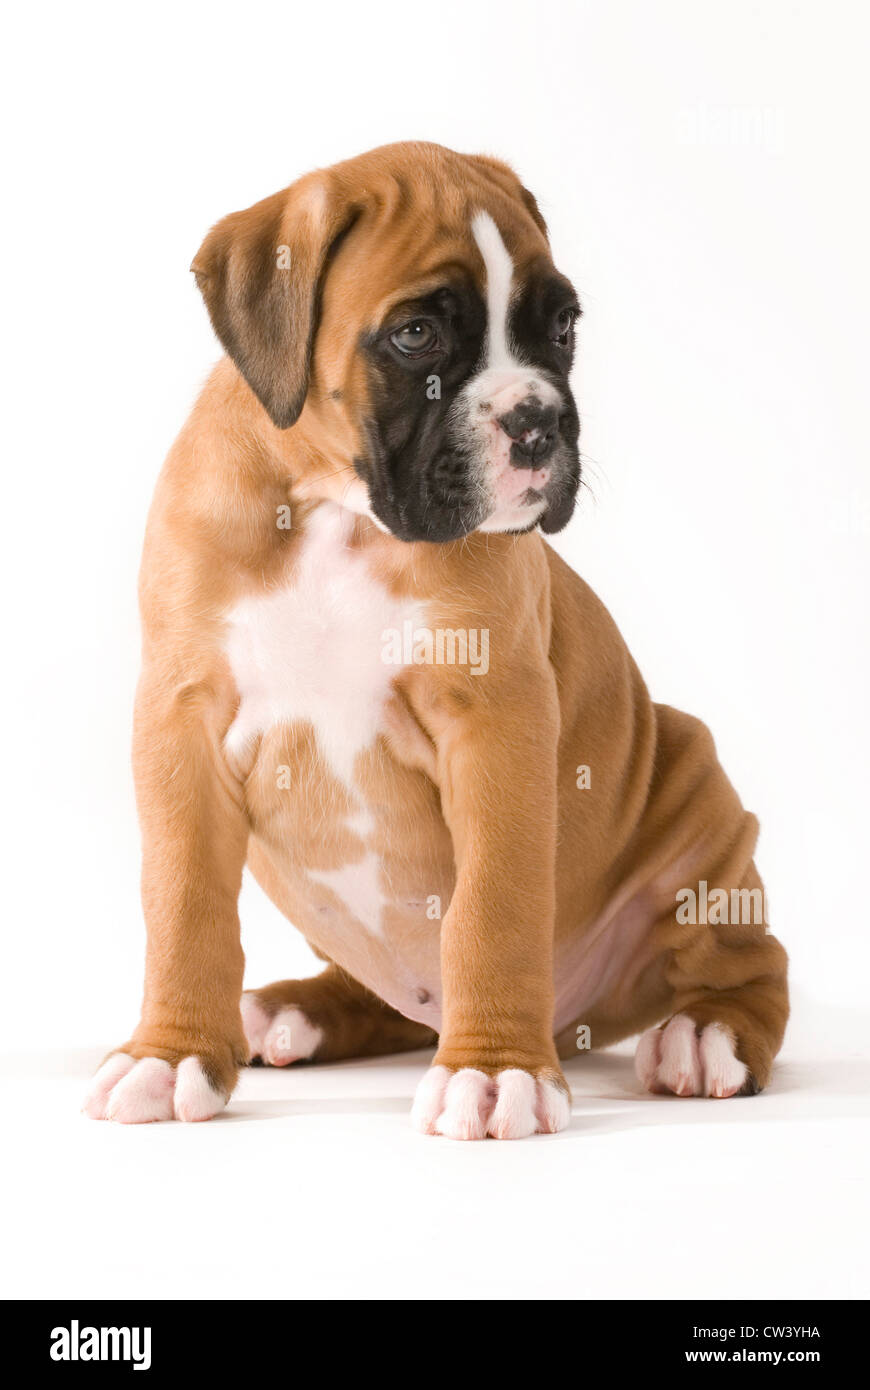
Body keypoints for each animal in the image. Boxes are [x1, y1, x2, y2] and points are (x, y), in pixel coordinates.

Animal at [83, 141, 783, 1139]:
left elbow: (492, 907)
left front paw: (494, 1072)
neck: (336, 507)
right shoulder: (181, 720)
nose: (538, 420)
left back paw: (704, 1034)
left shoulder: (498, 725)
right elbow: (182, 901)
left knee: (749, 963)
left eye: (562, 326)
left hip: (699, 800)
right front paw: (169, 1052)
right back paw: (290, 1011)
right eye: (415, 336)